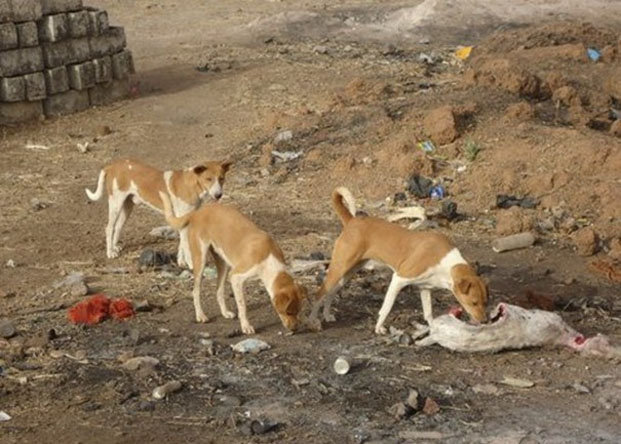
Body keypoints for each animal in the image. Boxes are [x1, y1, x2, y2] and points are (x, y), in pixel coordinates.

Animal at [86, 159, 231, 266]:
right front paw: (189, 264)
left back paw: (115, 247)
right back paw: (110, 252)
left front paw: (181, 262)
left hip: (127, 208)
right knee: (109, 228)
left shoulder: (183, 221)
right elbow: (185, 246)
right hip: (115, 204)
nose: (218, 195)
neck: (192, 185)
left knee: (117, 227)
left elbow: (181, 246)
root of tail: (112, 166)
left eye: (221, 178)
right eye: (208, 179)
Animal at [159, 191, 306, 332]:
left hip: (223, 265)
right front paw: (246, 326)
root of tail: (199, 211)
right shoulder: (236, 277)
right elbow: (242, 305)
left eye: (298, 311)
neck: (268, 258)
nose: (295, 329)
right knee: (196, 291)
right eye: (288, 312)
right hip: (200, 262)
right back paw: (200, 315)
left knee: (218, 291)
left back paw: (225, 313)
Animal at [308, 186, 486, 334]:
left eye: (486, 302)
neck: (446, 263)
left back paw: (327, 315)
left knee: (331, 292)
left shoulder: (425, 288)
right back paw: (313, 320)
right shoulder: (399, 278)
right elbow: (386, 308)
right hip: (339, 267)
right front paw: (379, 328)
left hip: (347, 272)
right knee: (319, 293)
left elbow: (428, 314)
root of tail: (352, 221)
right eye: (474, 302)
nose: (485, 321)